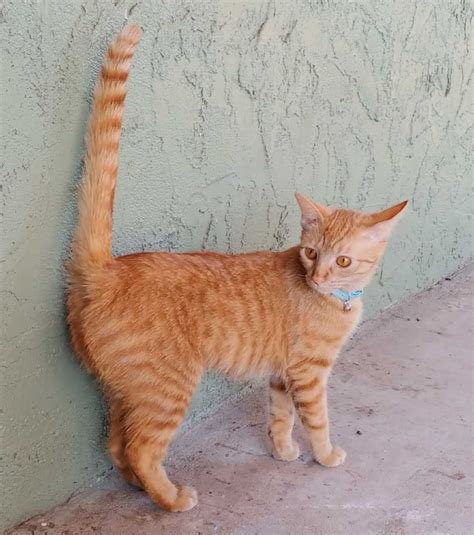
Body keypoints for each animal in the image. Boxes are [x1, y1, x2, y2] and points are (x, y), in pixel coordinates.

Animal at [65, 23, 408, 512]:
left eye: (341, 260)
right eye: (311, 253)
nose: (319, 276)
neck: (336, 300)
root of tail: (107, 269)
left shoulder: (283, 374)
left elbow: (281, 417)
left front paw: (283, 451)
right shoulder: (309, 373)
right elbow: (318, 420)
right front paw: (324, 455)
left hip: (127, 390)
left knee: (118, 445)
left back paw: (139, 487)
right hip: (167, 389)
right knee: (141, 447)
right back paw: (172, 499)